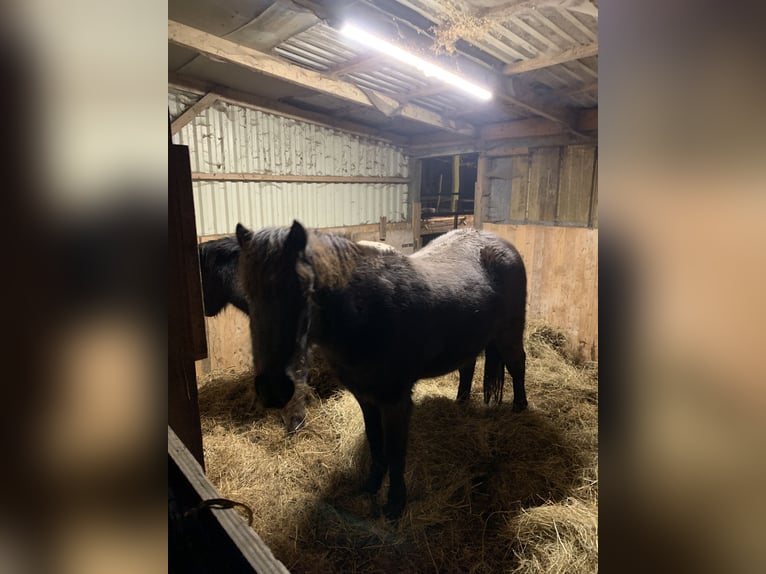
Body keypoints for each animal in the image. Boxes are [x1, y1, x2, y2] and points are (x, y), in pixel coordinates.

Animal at [238, 223, 528, 520]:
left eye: (303, 292)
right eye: (248, 296)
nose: (272, 389)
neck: (367, 315)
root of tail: (499, 243)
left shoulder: (395, 401)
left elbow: (396, 452)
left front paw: (395, 504)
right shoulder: (365, 397)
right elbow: (376, 443)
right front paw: (371, 486)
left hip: (509, 333)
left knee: (517, 364)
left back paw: (520, 408)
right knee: (468, 367)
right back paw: (461, 402)